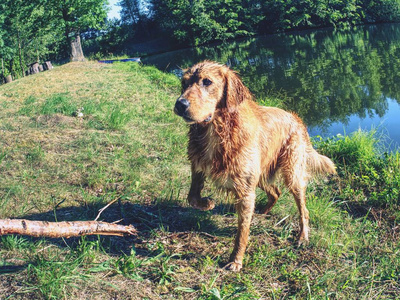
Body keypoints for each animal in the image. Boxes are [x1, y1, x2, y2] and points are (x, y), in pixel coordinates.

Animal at [173, 61, 336, 272]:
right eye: (184, 83)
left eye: (207, 81)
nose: (180, 104)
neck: (218, 131)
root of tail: (296, 119)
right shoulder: (198, 167)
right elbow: (192, 196)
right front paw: (207, 203)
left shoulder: (245, 191)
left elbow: (242, 232)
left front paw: (236, 260)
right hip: (258, 174)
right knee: (275, 192)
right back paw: (263, 212)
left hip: (292, 175)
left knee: (304, 210)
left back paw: (302, 237)